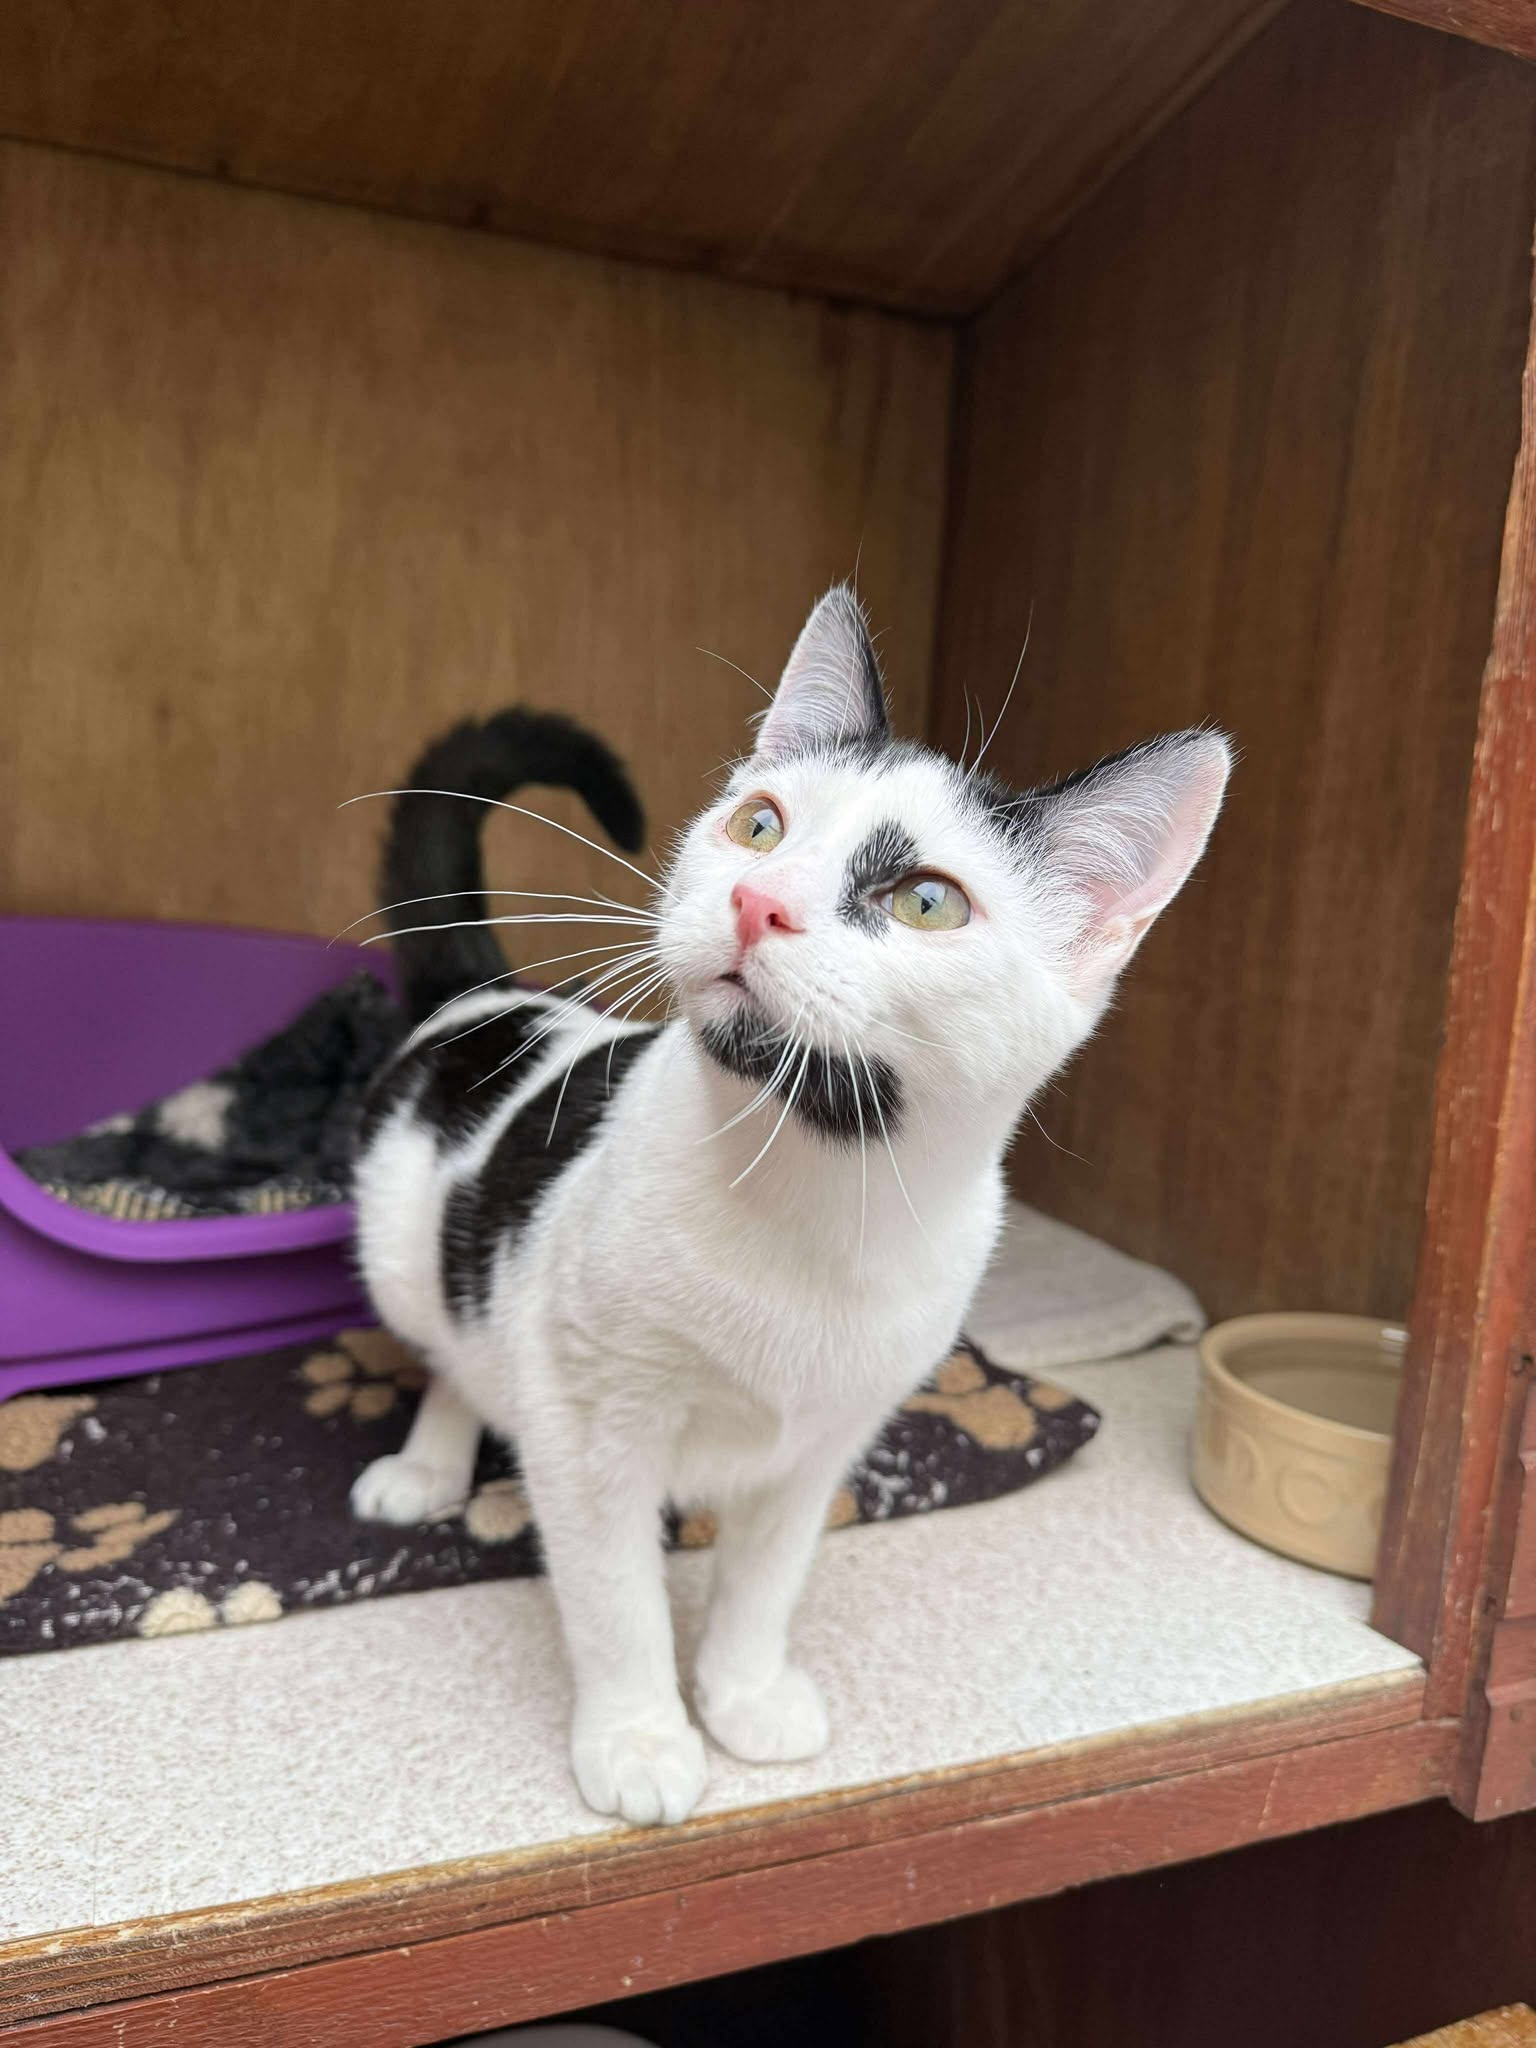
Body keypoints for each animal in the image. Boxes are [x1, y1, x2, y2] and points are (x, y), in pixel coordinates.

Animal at [349, 585, 1230, 1828]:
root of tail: (498, 997)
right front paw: (641, 1734)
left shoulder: (827, 1439)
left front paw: (744, 1691)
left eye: (926, 901)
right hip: (409, 1249)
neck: (815, 1194)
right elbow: (614, 1595)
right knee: (451, 1347)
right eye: (759, 825)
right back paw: (430, 1463)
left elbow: (767, 1576)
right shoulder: (588, 1426)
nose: (756, 899)